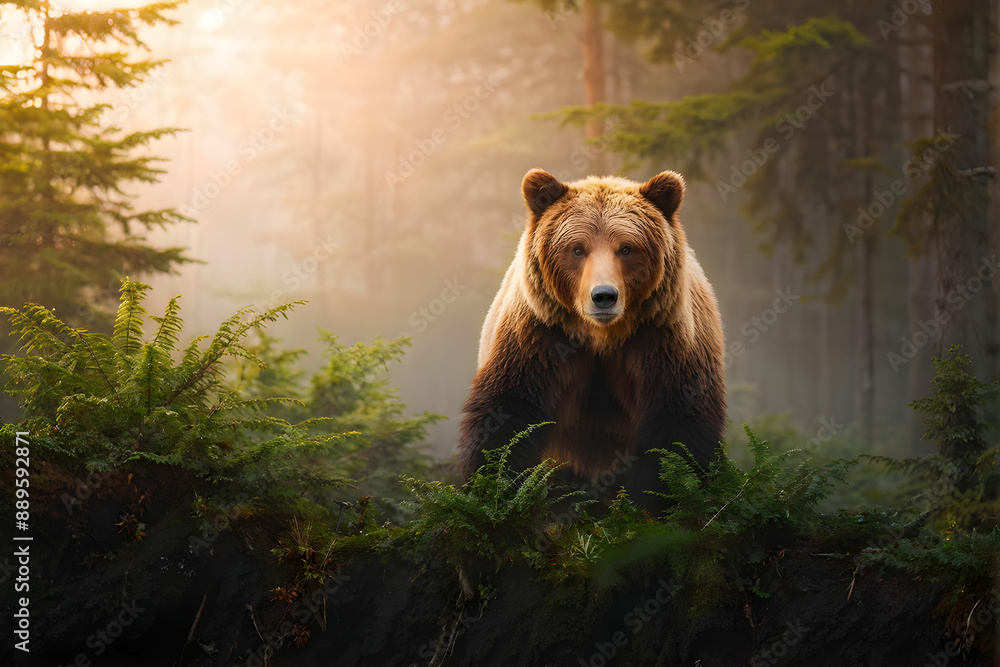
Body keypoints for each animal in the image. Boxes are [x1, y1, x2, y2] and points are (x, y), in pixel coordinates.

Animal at [458, 168, 726, 509]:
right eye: (577, 248)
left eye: (626, 248)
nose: (604, 296)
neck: (602, 336)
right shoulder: (538, 337)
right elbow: (508, 415)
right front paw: (496, 489)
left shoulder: (663, 341)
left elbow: (677, 427)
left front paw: (659, 499)